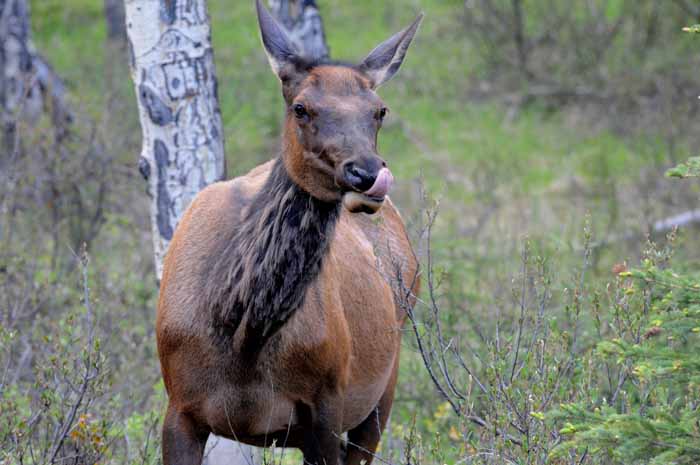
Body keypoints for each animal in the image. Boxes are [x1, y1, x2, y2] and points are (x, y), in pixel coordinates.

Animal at [156, 1, 422, 462]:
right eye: (300, 107)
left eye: (379, 110)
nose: (368, 173)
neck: (243, 335)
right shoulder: (181, 406)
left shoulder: (326, 407)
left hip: (381, 390)